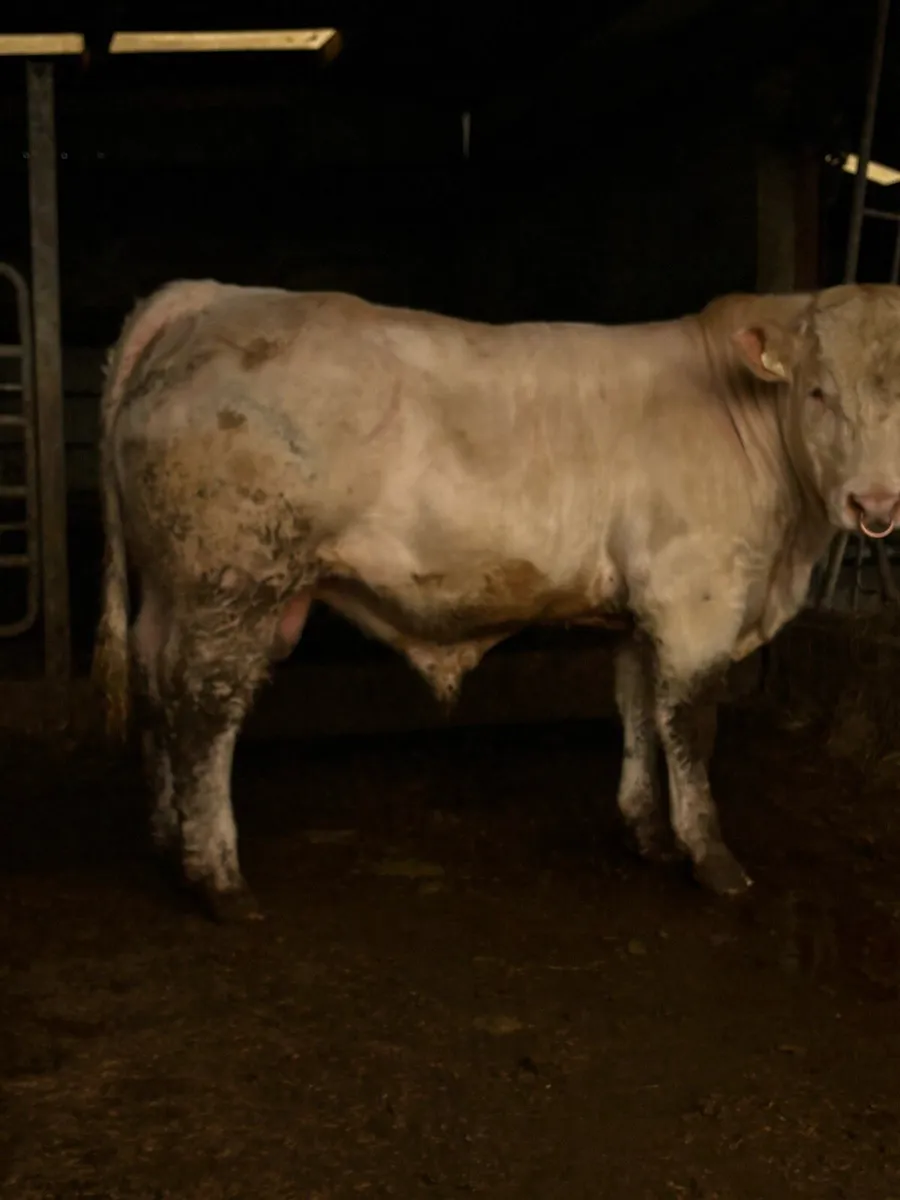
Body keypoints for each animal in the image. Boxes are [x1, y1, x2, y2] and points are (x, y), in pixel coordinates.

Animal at [91, 279, 900, 921]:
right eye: (818, 392)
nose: (875, 502)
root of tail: (213, 298)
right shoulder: (696, 595)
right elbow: (692, 725)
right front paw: (713, 858)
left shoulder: (643, 612)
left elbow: (639, 711)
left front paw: (646, 834)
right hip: (232, 582)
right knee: (204, 710)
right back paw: (219, 880)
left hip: (173, 589)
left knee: (155, 680)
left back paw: (167, 841)